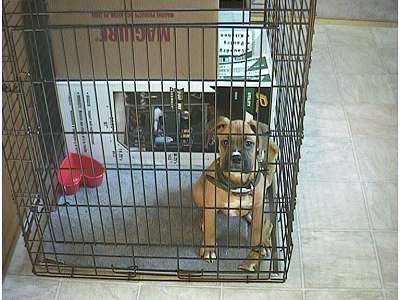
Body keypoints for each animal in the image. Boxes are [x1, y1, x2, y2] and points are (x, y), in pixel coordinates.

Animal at [194, 116, 278, 270]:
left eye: (249, 143)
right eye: (225, 142)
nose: (236, 157)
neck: (237, 184)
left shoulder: (258, 206)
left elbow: (257, 229)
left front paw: (258, 246)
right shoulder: (211, 205)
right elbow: (210, 228)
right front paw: (209, 248)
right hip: (198, 191)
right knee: (204, 212)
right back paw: (203, 220)